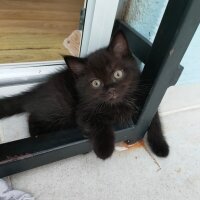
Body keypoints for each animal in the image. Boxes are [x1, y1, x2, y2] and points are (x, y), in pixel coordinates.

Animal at [0, 31, 169, 159]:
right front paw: (104, 149)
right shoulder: (83, 112)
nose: (111, 90)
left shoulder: (143, 98)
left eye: (117, 74)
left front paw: (160, 145)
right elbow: (99, 122)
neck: (118, 104)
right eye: (96, 83)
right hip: (60, 108)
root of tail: (37, 91)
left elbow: (153, 120)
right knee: (33, 122)